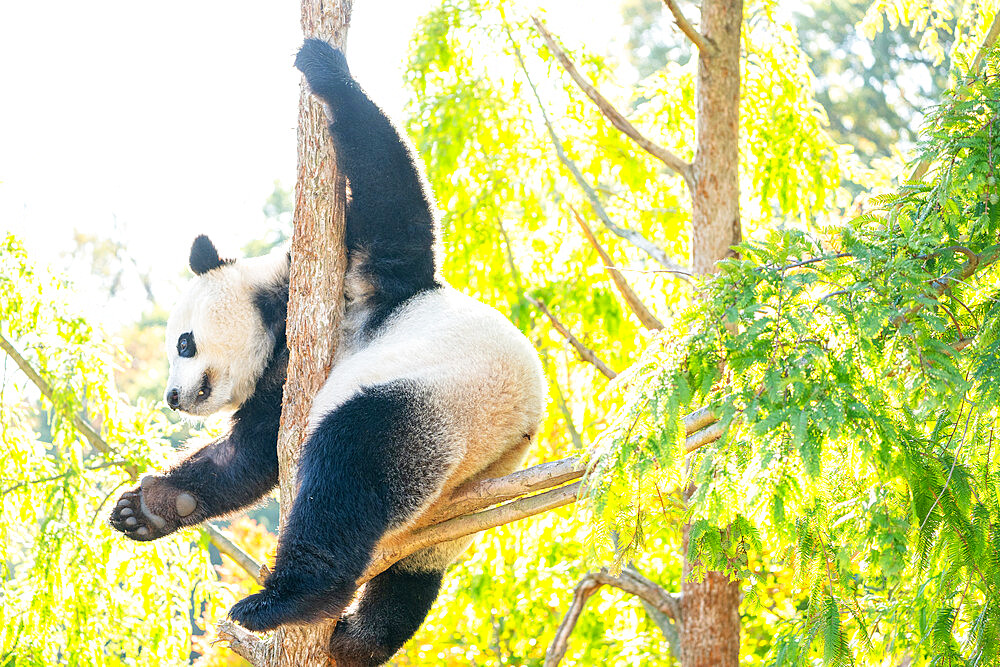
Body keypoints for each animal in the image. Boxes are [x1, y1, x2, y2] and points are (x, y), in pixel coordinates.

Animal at [107, 39, 548, 664]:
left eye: (184, 345)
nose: (171, 397)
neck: (279, 323)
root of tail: (513, 436)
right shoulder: (280, 384)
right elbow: (250, 454)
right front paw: (149, 508)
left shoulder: (357, 274)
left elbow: (396, 207)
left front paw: (325, 71)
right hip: (456, 503)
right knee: (411, 573)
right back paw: (357, 639)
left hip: (438, 396)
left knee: (350, 463)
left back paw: (288, 599)